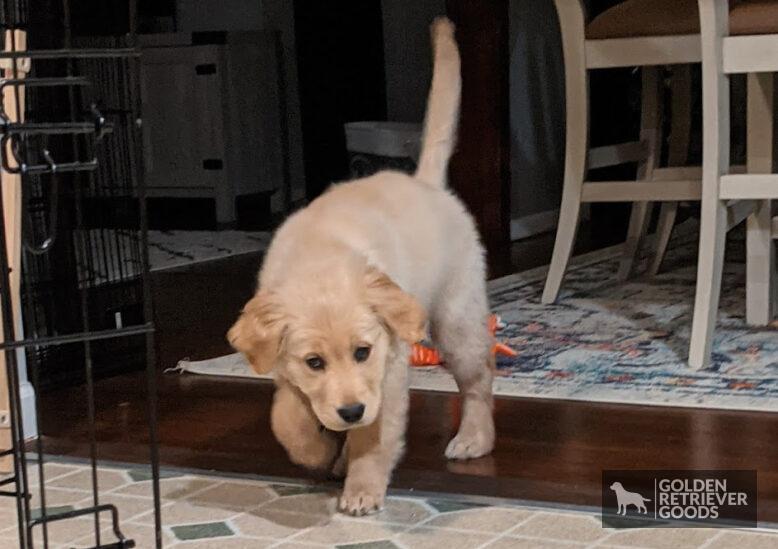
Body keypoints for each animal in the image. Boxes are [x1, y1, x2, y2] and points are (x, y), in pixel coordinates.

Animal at [229, 17, 492, 512]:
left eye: (362, 352)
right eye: (314, 362)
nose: (350, 411)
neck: (319, 261)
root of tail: (425, 183)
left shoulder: (386, 373)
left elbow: (374, 436)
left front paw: (362, 487)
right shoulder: (287, 373)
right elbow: (288, 419)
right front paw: (317, 451)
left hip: (458, 318)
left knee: (479, 378)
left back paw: (474, 438)